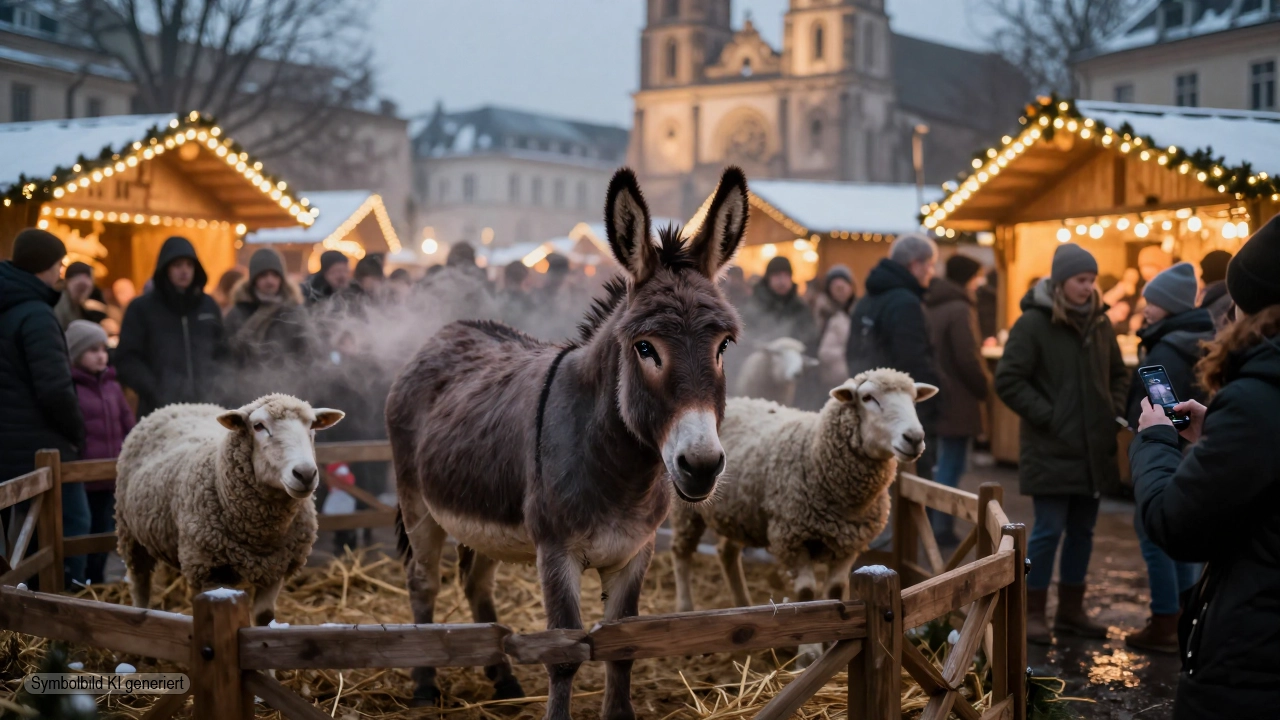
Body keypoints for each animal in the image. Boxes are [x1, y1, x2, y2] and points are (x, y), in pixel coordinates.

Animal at [115, 394, 343, 627]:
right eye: (258, 426)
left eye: (312, 426)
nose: (305, 474)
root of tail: (180, 405)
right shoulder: (209, 570)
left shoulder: (276, 570)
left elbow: (264, 617)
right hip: (130, 535)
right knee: (140, 584)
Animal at [670, 368, 936, 666]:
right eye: (868, 398)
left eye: (914, 398)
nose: (914, 438)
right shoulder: (792, 538)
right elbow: (808, 594)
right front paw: (808, 655)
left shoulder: (849, 544)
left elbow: (834, 590)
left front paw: (833, 641)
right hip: (687, 508)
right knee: (681, 553)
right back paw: (685, 609)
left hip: (739, 512)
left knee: (726, 553)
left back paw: (743, 604)